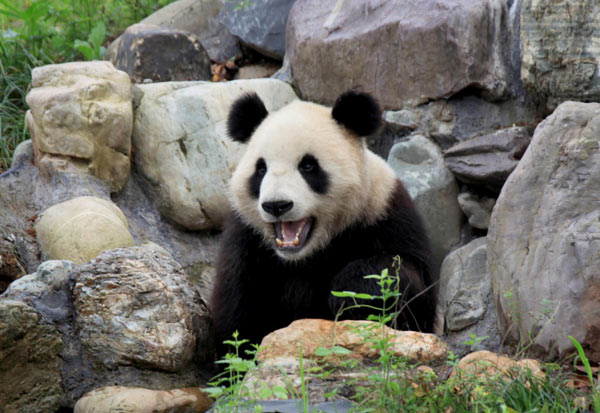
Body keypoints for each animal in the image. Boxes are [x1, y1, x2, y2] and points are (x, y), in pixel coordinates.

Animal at [211, 90, 436, 348]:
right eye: (260, 169)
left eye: (308, 165)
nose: (277, 205)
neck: (304, 256)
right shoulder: (246, 241)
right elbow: (238, 314)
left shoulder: (387, 215)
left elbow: (408, 282)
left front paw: (350, 292)